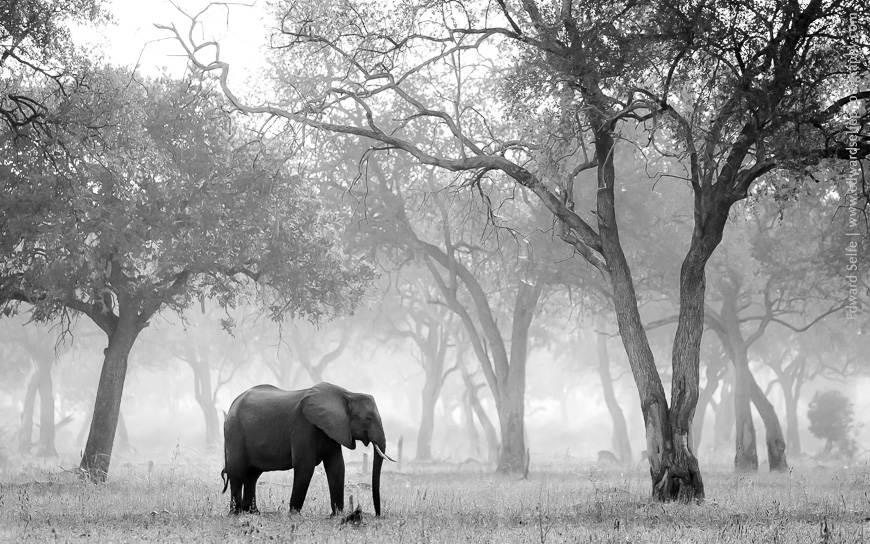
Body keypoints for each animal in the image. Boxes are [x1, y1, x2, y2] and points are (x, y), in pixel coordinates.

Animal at [221, 382, 395, 516]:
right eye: (368, 418)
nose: (377, 515)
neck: (347, 394)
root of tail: (232, 405)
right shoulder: (304, 426)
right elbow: (305, 466)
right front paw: (294, 515)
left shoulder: (333, 428)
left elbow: (337, 467)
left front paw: (336, 516)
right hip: (235, 432)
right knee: (238, 471)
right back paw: (236, 514)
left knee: (252, 475)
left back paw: (253, 513)